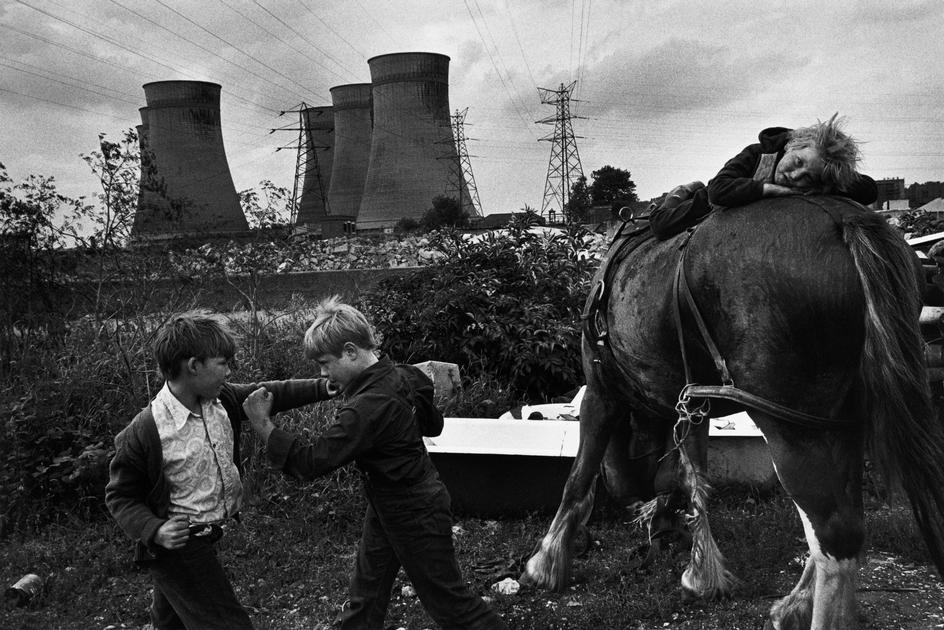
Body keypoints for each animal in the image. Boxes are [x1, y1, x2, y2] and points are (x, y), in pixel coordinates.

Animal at [520, 198, 944, 630]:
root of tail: (844, 219)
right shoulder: (692, 404)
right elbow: (689, 478)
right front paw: (700, 566)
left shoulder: (601, 394)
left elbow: (578, 478)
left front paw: (545, 563)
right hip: (843, 424)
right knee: (847, 523)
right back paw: (797, 603)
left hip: (792, 429)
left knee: (833, 533)